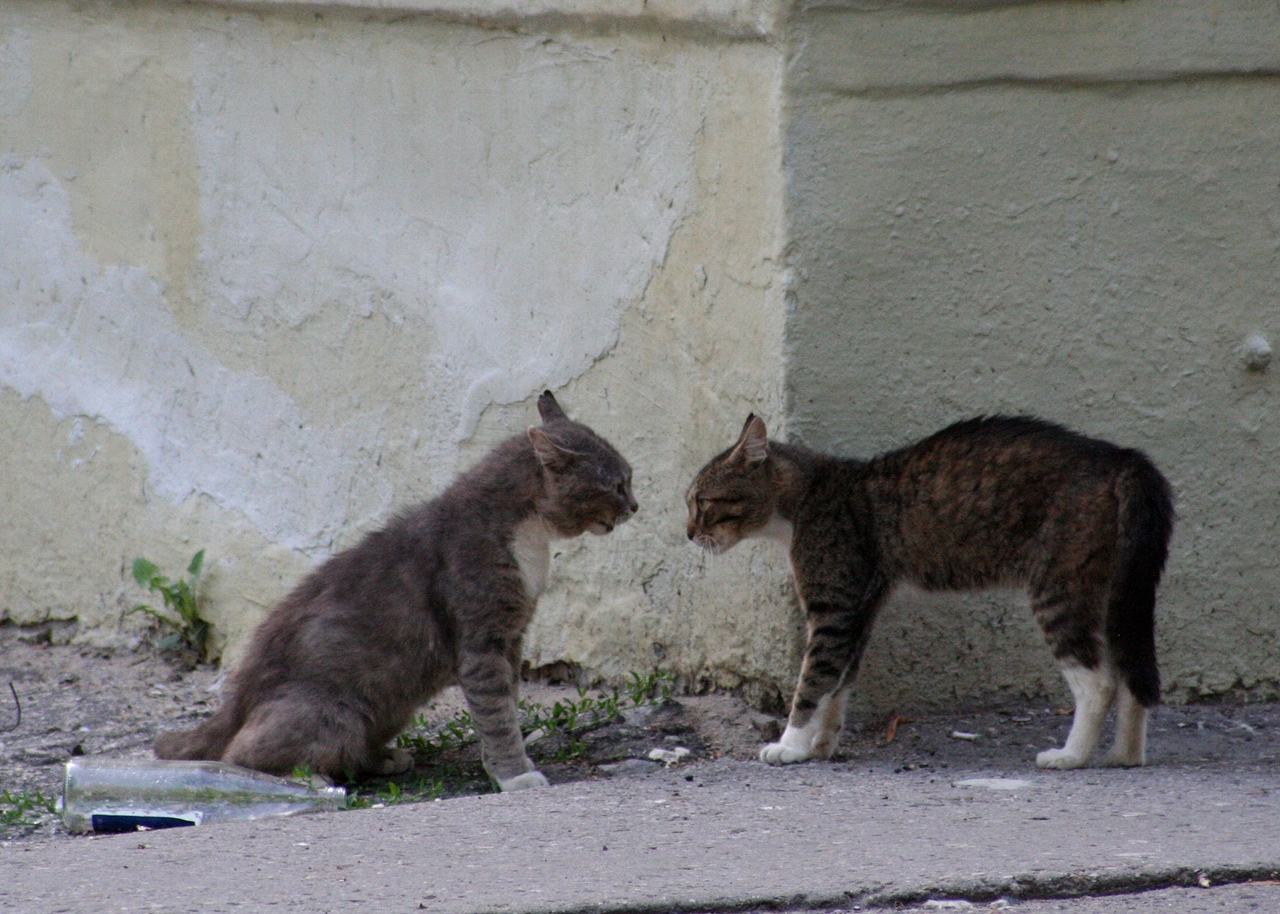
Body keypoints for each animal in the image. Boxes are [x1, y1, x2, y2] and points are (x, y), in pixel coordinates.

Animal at [157, 389, 637, 788]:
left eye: (629, 479)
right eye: (617, 483)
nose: (635, 505)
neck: (531, 540)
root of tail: (235, 703)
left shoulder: (512, 637)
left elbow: (505, 707)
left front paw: (501, 763)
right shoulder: (482, 640)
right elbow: (497, 714)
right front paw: (515, 774)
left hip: (394, 702)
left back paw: (382, 759)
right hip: (336, 712)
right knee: (239, 755)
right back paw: (310, 777)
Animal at [686, 412, 1172, 768]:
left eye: (702, 503)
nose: (689, 533)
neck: (806, 499)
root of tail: (1120, 457)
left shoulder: (832, 611)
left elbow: (812, 681)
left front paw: (790, 745)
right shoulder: (860, 610)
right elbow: (838, 686)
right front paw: (821, 745)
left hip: (1060, 590)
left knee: (1099, 681)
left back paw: (1070, 756)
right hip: (1114, 593)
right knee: (1130, 671)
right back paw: (1125, 755)